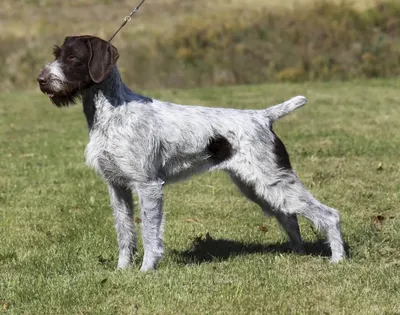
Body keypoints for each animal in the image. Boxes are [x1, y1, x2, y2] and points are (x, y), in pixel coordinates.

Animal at [36, 35, 346, 272]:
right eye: (56, 54)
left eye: (73, 58)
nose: (41, 80)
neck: (112, 113)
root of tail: (263, 116)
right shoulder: (117, 186)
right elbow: (125, 232)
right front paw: (122, 270)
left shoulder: (148, 186)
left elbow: (149, 233)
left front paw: (146, 270)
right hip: (257, 186)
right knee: (289, 216)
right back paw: (297, 253)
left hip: (272, 180)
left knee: (328, 215)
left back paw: (338, 259)